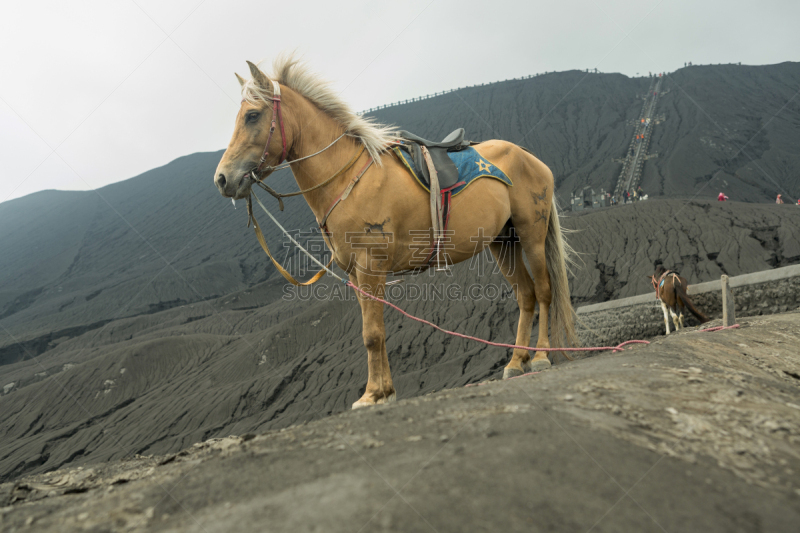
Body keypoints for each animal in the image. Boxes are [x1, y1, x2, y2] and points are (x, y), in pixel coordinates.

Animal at [212, 56, 580, 408]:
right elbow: (373, 331)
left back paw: (542, 356)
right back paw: (517, 362)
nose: (222, 179)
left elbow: (372, 333)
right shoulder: (356, 273)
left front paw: (372, 394)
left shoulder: (371, 265)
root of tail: (530, 157)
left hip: (531, 235)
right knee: (525, 295)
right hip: (502, 242)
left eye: (253, 115)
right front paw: (384, 390)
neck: (346, 177)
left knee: (543, 291)